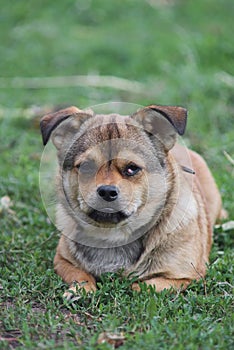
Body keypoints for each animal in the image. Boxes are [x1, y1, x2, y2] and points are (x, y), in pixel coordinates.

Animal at [39, 103, 223, 296]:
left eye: (132, 168)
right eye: (86, 167)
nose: (107, 192)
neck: (113, 235)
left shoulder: (186, 276)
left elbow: (141, 285)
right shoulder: (62, 260)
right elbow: (81, 275)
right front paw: (79, 290)